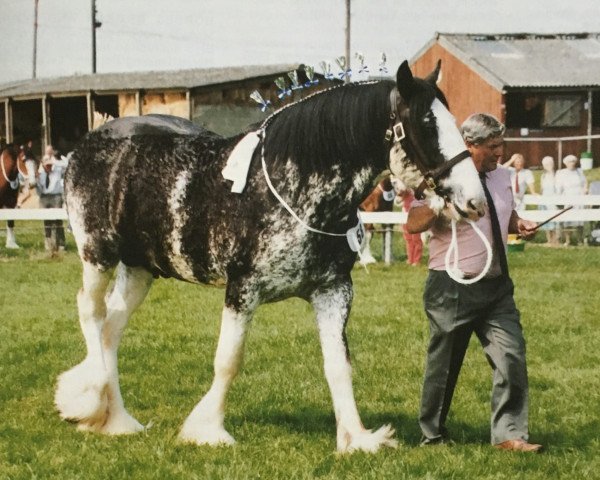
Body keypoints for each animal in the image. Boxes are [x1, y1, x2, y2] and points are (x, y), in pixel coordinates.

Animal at [55, 61, 488, 454]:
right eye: (426, 125)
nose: (475, 202)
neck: (291, 188)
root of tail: (93, 139)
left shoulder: (333, 292)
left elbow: (339, 366)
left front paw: (356, 438)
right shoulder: (242, 290)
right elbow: (228, 360)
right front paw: (208, 431)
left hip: (140, 269)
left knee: (110, 329)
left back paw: (115, 421)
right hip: (98, 254)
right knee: (90, 312)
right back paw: (86, 401)